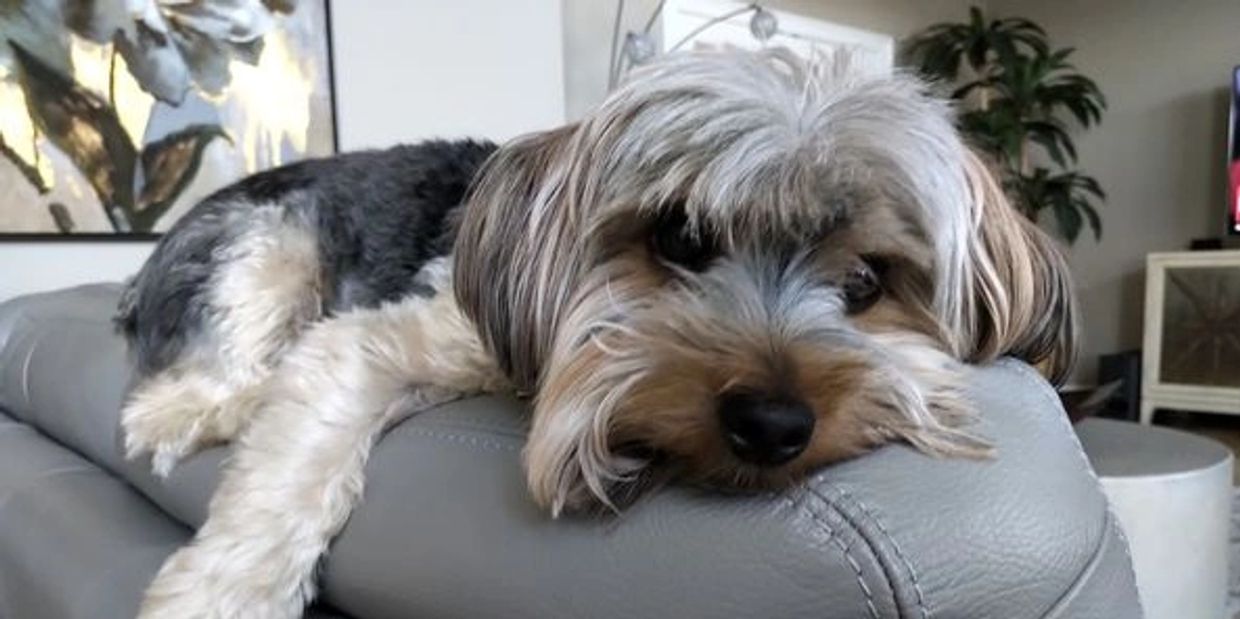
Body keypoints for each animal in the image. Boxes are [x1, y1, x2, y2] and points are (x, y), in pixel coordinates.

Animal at [123, 49, 1076, 619]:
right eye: (680, 237)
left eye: (868, 282)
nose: (774, 424)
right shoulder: (393, 336)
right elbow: (298, 452)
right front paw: (219, 596)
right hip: (262, 236)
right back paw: (194, 407)